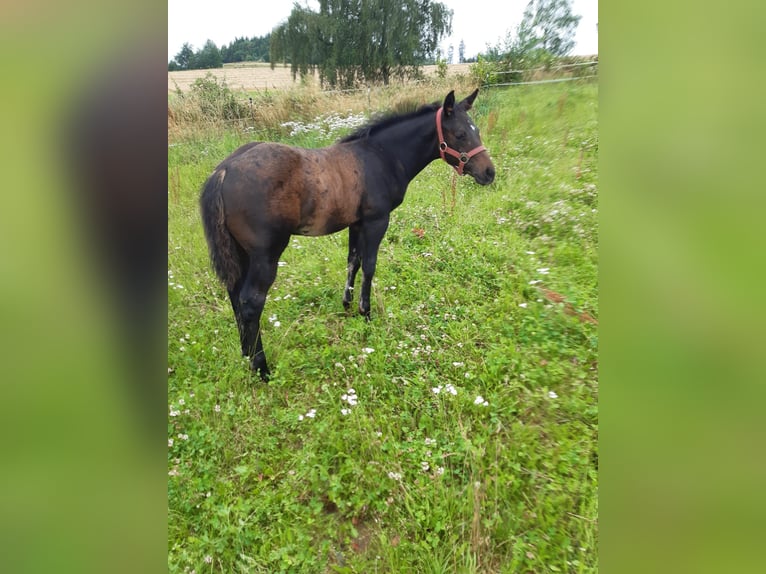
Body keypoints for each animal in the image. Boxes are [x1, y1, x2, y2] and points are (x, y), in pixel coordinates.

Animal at [201, 88, 496, 380]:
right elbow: (369, 265)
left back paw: (246, 354)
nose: (489, 173)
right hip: (266, 254)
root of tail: (223, 171)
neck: (381, 156)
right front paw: (366, 313)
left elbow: (353, 261)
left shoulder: (356, 223)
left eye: (477, 130)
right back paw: (262, 368)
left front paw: (347, 304)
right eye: (460, 134)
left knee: (234, 295)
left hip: (240, 252)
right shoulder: (377, 221)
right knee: (250, 302)